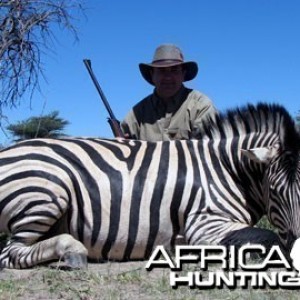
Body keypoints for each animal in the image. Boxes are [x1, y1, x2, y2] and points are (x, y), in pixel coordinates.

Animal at [0, 103, 298, 270]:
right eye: (275, 191)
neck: (225, 169)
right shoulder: (204, 223)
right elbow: (267, 238)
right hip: (46, 193)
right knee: (9, 253)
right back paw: (73, 252)